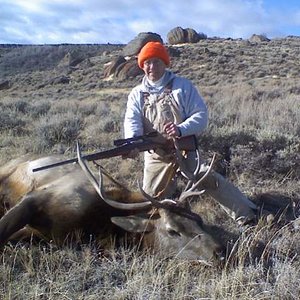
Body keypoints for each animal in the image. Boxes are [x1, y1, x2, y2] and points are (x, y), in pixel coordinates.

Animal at [0, 154, 225, 264]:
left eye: (199, 220)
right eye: (172, 230)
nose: (220, 252)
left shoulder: (46, 235)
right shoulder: (37, 198)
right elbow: (4, 228)